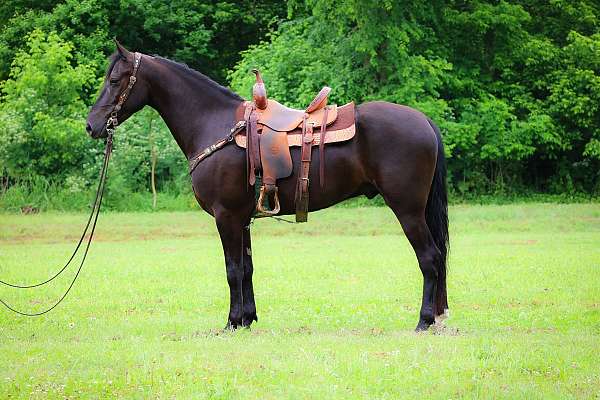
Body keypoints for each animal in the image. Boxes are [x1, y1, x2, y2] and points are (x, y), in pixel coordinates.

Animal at [85, 43, 450, 332]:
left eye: (114, 80)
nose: (91, 126)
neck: (213, 123)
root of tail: (424, 120)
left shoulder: (226, 217)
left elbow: (232, 270)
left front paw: (232, 322)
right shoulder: (242, 219)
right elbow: (246, 268)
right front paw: (248, 318)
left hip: (407, 209)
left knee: (430, 258)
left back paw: (424, 320)